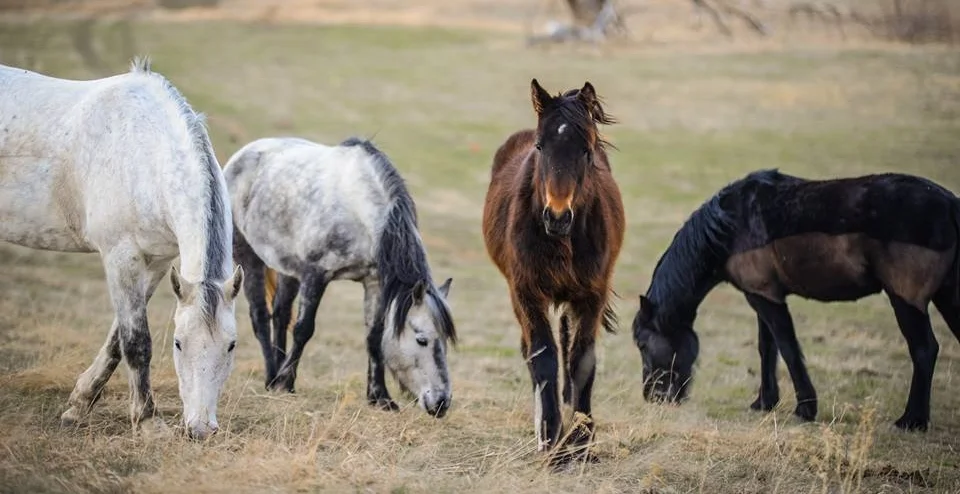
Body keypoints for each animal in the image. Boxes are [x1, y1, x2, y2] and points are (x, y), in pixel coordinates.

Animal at [0, 58, 243, 440]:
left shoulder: (157, 263)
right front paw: (148, 422)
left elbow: (117, 339)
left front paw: (78, 407)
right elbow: (136, 341)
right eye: (178, 343)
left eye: (231, 345)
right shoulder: (120, 257)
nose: (201, 429)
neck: (145, 156)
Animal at [223, 136, 457, 417]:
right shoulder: (316, 274)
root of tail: (241, 155)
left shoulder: (374, 282)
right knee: (260, 316)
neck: (359, 210)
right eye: (422, 339)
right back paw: (272, 376)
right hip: (247, 255)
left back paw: (275, 376)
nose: (442, 402)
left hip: (287, 268)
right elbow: (303, 329)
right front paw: (286, 383)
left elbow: (374, 336)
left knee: (280, 315)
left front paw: (380, 397)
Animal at [481, 79, 625, 458]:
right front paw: (550, 438)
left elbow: (581, 361)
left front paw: (581, 438)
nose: (557, 217)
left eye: (586, 151)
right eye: (540, 146)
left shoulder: (591, 295)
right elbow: (543, 358)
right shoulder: (527, 293)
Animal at [633, 168, 960, 432]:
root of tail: (951, 205)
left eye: (643, 345)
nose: (652, 397)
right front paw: (765, 402)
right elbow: (767, 348)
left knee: (924, 349)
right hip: (948, 296)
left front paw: (805, 407)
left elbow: (787, 348)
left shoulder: (767, 297)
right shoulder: (759, 295)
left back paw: (912, 420)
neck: (730, 227)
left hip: (906, 300)